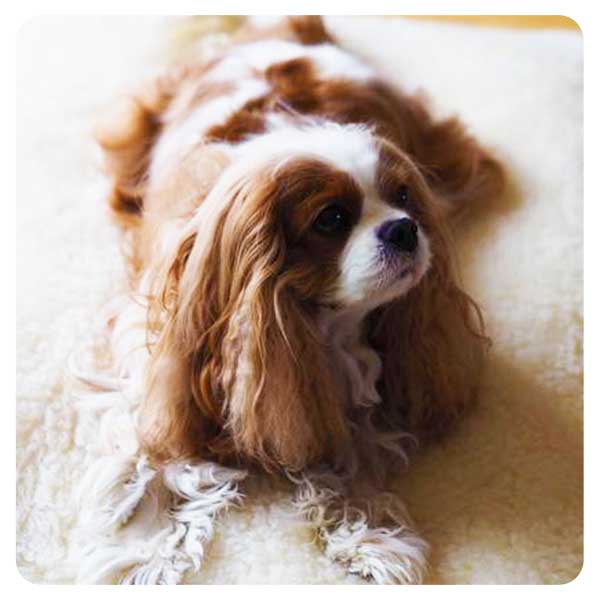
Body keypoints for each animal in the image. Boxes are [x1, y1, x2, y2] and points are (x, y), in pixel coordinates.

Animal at [86, 16, 504, 584]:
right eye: (332, 218)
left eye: (403, 198)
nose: (404, 229)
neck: (321, 326)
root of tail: (283, 26)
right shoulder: (160, 369)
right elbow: (148, 458)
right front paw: (146, 548)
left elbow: (346, 455)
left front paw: (366, 535)